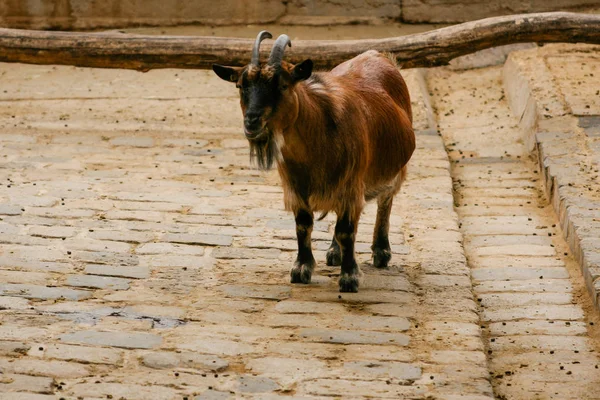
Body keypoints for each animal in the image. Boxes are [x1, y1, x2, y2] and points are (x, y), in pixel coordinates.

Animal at [213, 31, 414, 292]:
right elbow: (303, 225)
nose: (252, 121)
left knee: (385, 200)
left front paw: (349, 277)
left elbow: (347, 230)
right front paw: (301, 269)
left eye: (283, 85)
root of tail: (378, 55)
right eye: (240, 86)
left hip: (395, 168)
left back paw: (381, 252)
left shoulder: (351, 183)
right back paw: (334, 252)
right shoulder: (295, 186)